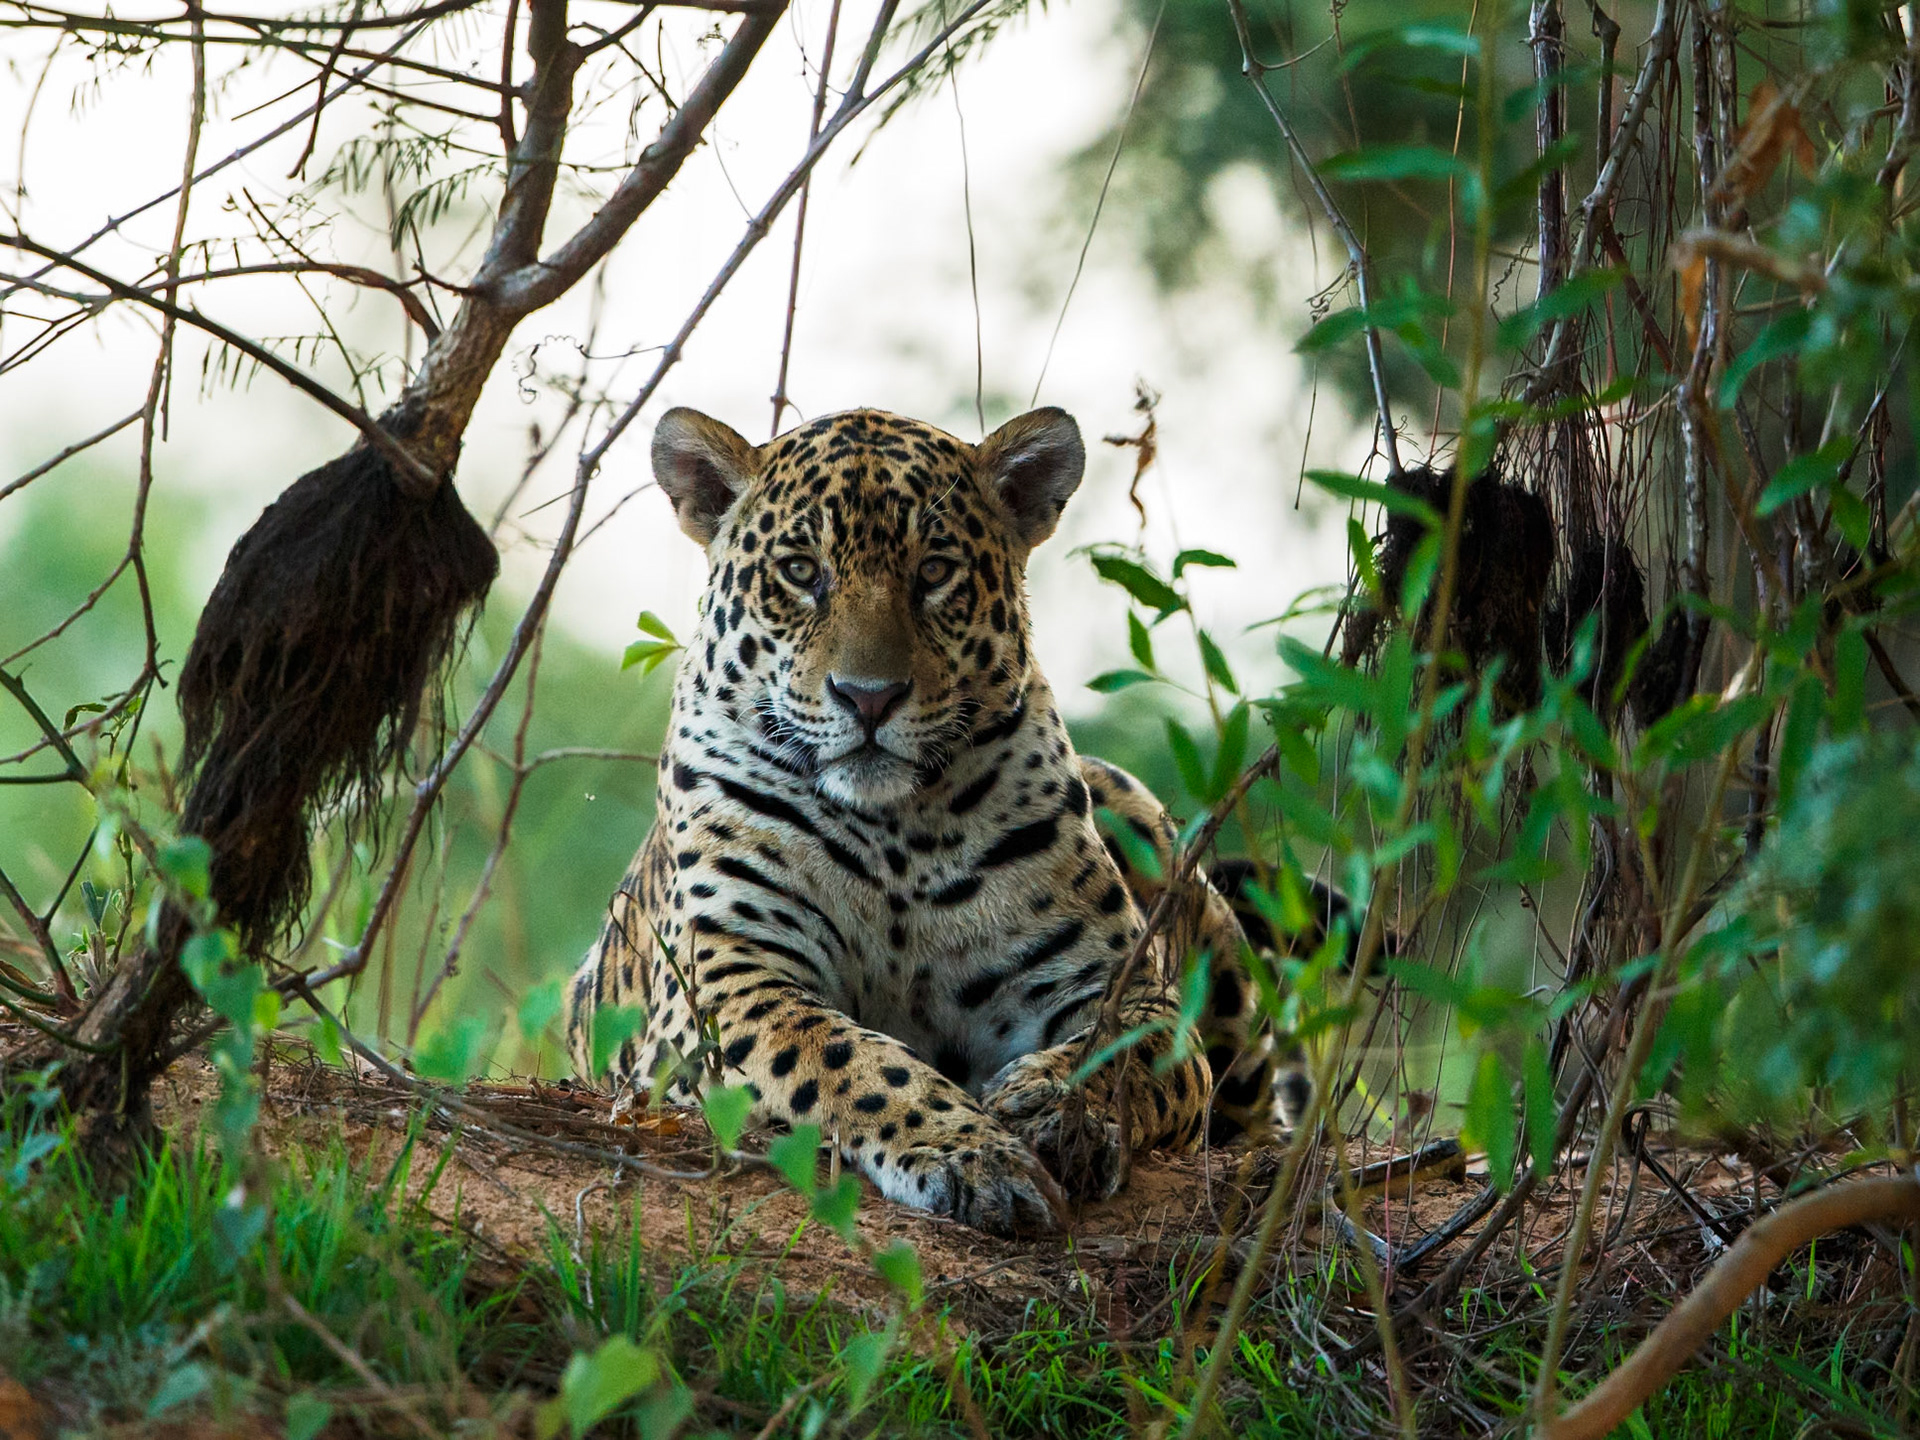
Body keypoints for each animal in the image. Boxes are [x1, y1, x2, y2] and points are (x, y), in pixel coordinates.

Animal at [562, 404, 1305, 1235]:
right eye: (801, 572)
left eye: (935, 571)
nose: (869, 696)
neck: (899, 836)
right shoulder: (728, 979)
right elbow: (844, 1057)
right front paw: (970, 1155)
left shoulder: (1119, 984)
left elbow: (1120, 1053)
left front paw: (1055, 1108)